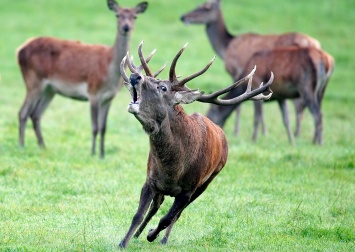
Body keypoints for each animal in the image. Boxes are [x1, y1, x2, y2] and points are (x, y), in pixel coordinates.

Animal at [16, 0, 149, 158]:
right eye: (118, 15)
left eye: (135, 16)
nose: (126, 27)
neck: (109, 73)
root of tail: (20, 50)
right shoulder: (93, 92)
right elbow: (95, 127)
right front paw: (92, 153)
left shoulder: (109, 98)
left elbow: (104, 127)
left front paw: (102, 154)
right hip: (33, 80)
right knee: (23, 112)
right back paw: (21, 145)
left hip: (49, 89)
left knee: (35, 114)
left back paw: (43, 147)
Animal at [118, 41, 274, 248]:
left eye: (162, 87)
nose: (135, 76)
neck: (173, 168)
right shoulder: (151, 180)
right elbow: (138, 215)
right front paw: (124, 242)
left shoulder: (189, 189)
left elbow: (167, 218)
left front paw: (152, 235)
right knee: (156, 206)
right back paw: (138, 235)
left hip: (207, 182)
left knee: (176, 215)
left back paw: (163, 239)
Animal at [182, 0, 324, 142]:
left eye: (205, 7)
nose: (183, 17)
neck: (226, 47)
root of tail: (317, 45)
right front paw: (265, 133)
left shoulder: (238, 72)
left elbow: (244, 108)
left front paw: (242, 133)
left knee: (304, 107)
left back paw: (306, 138)